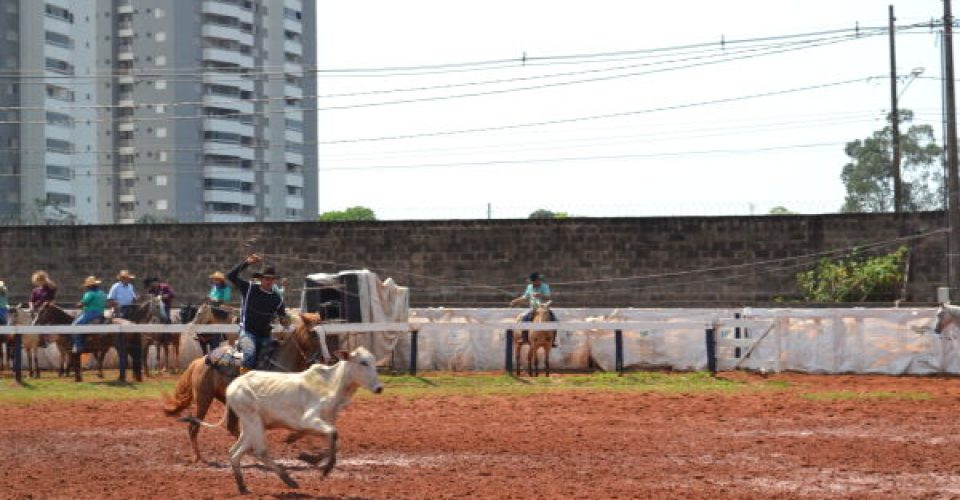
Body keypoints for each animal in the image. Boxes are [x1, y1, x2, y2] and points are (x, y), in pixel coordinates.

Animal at [164, 312, 326, 464]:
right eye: (313, 333)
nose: (323, 359)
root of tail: (200, 360)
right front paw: (292, 438)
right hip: (204, 399)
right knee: (193, 428)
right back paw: (198, 457)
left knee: (232, 427)